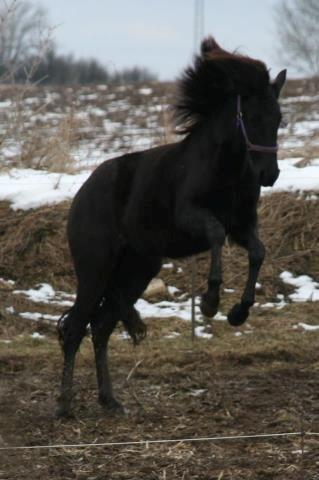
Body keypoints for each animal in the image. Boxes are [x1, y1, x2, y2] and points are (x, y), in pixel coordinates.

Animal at [57, 38, 288, 416]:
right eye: (252, 118)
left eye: (279, 119)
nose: (269, 174)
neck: (222, 168)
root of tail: (81, 195)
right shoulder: (192, 218)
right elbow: (215, 235)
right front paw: (210, 302)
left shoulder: (243, 226)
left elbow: (258, 252)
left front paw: (238, 313)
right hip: (95, 271)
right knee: (75, 328)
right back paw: (63, 406)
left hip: (135, 271)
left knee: (101, 327)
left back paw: (110, 401)